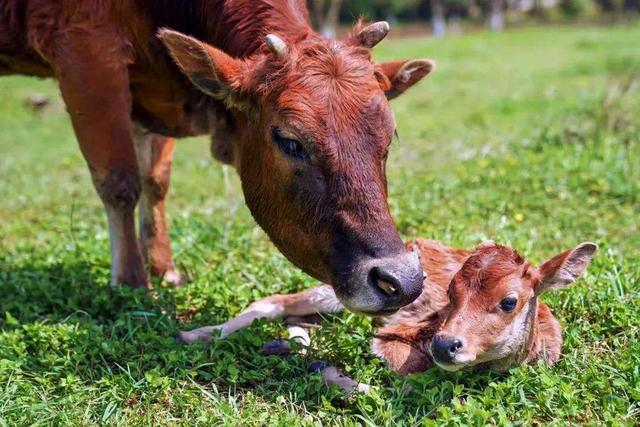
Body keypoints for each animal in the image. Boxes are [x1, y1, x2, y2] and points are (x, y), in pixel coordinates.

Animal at [0, 1, 436, 316]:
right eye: (290, 141)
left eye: (390, 135)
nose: (402, 280)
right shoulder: (85, 51)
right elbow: (120, 181)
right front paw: (131, 283)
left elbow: (154, 181)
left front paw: (164, 269)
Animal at [175, 241, 596, 378]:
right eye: (450, 292)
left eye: (509, 301)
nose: (444, 344)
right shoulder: (399, 334)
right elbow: (408, 369)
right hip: (337, 292)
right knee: (271, 302)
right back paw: (193, 334)